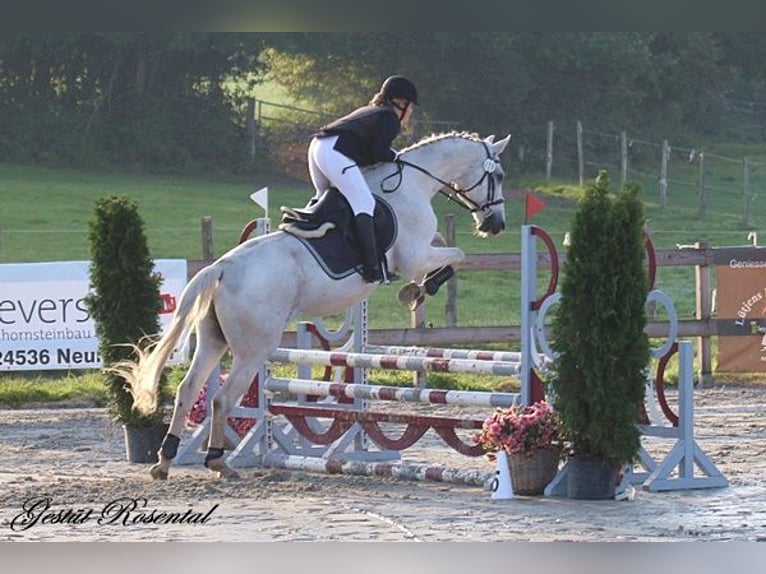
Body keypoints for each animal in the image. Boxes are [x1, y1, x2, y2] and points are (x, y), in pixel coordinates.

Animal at [120, 132, 510, 482]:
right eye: (499, 176)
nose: (496, 225)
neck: (412, 182)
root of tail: (221, 268)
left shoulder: (420, 251)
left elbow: (446, 244)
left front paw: (418, 290)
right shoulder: (413, 258)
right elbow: (456, 255)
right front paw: (418, 290)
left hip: (214, 340)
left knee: (188, 390)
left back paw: (164, 461)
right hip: (252, 351)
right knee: (222, 399)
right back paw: (219, 462)